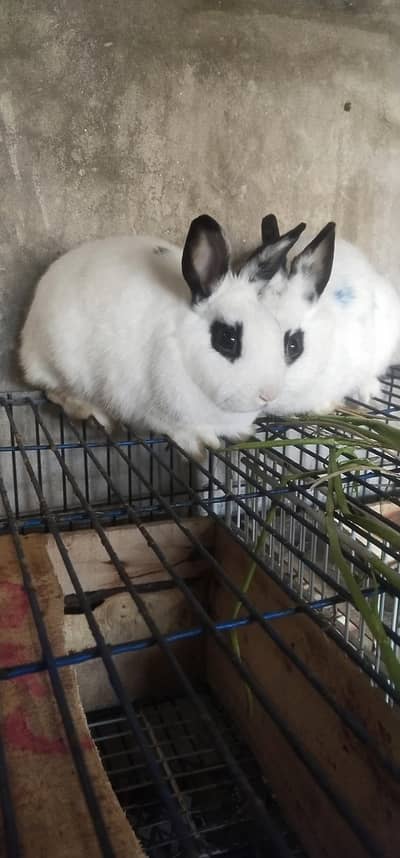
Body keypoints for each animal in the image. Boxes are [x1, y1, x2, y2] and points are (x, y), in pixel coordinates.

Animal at [19, 214, 300, 459]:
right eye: (227, 339)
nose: (269, 394)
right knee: (54, 390)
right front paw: (200, 442)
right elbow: (176, 428)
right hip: (61, 361)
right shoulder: (150, 410)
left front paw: (241, 431)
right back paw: (93, 413)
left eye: (275, 329)